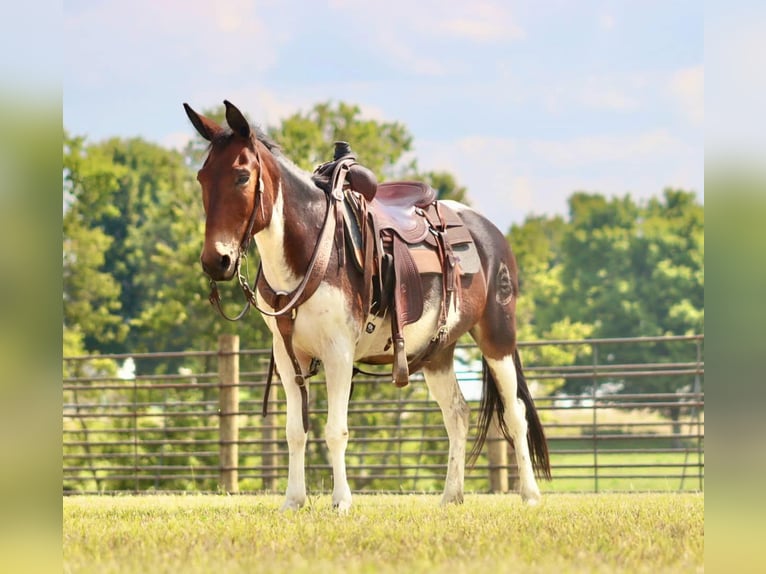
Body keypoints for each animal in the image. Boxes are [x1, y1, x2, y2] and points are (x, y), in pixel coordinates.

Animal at [184, 100, 551, 511]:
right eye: (202, 178)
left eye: (242, 176)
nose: (216, 261)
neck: (312, 247)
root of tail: (490, 232)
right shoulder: (286, 354)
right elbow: (295, 431)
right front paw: (293, 500)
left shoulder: (339, 352)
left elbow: (335, 430)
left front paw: (341, 501)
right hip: (438, 351)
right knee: (457, 413)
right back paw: (451, 496)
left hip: (497, 336)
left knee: (515, 412)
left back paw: (530, 495)